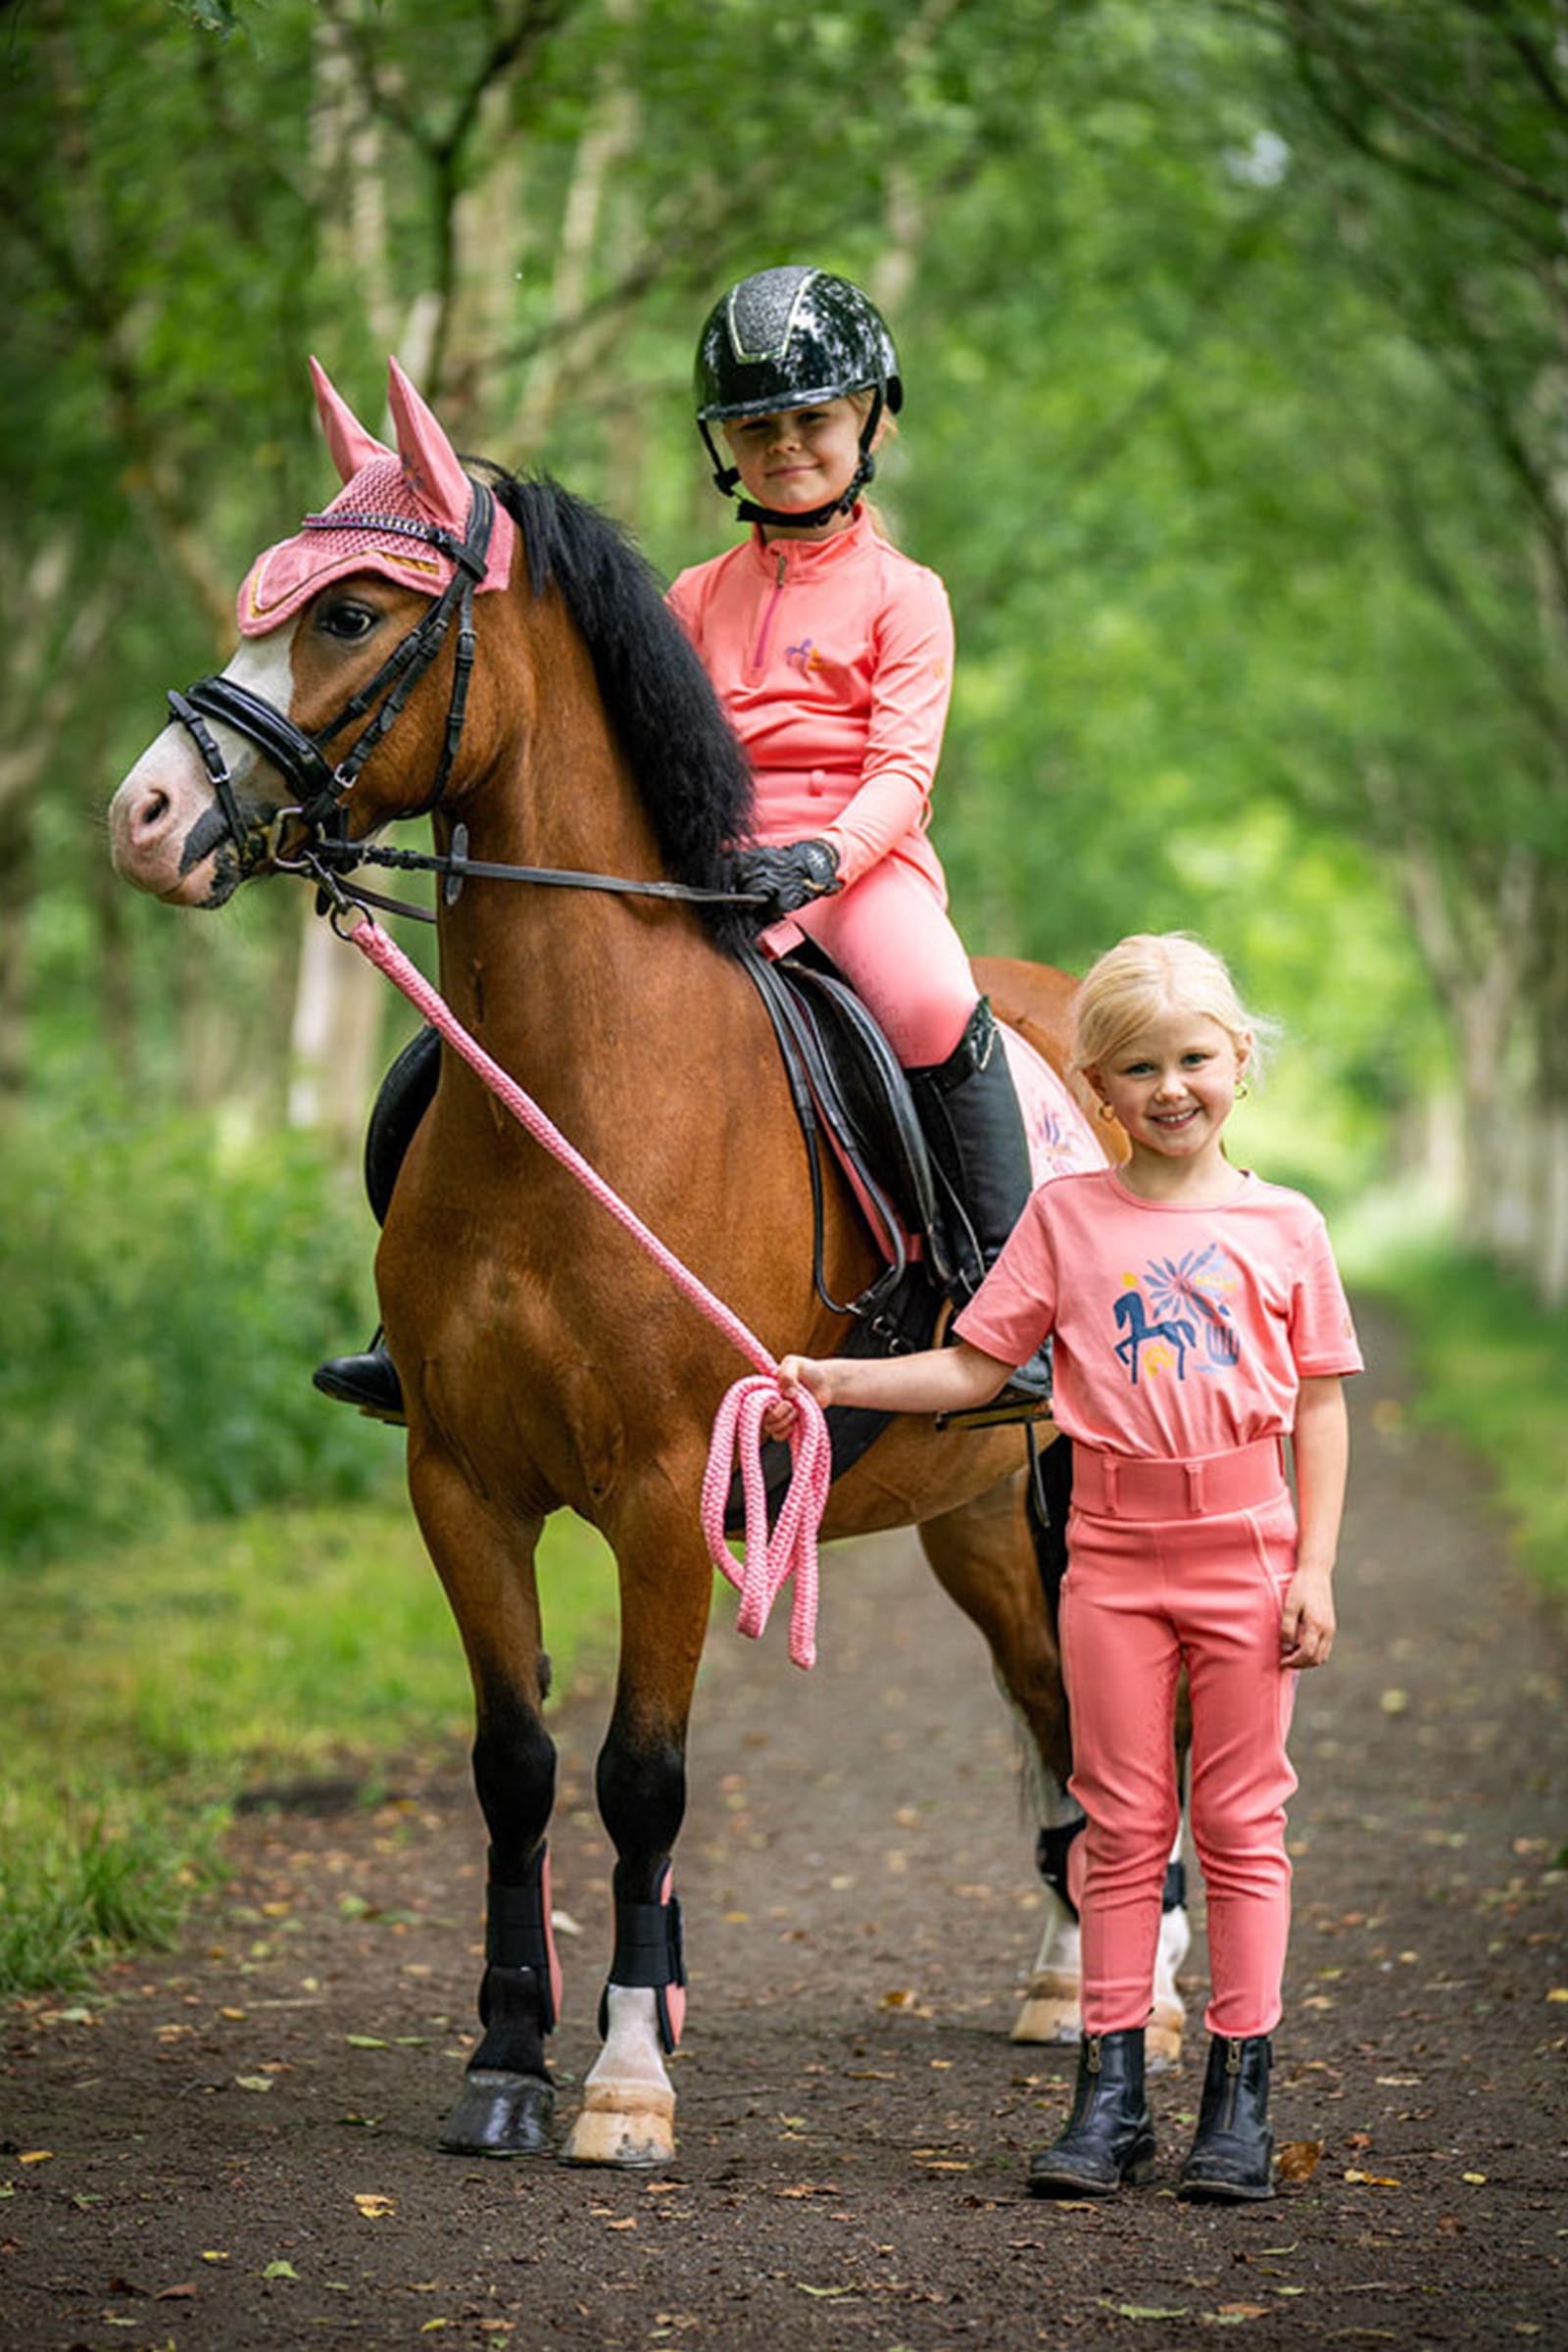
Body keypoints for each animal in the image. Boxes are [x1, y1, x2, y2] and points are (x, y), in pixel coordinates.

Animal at [107, 357, 1191, 2169]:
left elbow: (643, 1777)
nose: (144, 817)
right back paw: (1063, 1981)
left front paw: (623, 2080)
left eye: (346, 612)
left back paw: (1160, 1990)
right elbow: (515, 1766)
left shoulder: (675, 1485)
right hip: (973, 1509)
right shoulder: (463, 1481)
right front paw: (501, 2064)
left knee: (1111, 1711)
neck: (596, 1080)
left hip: (1065, 1484)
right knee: (1048, 1702)